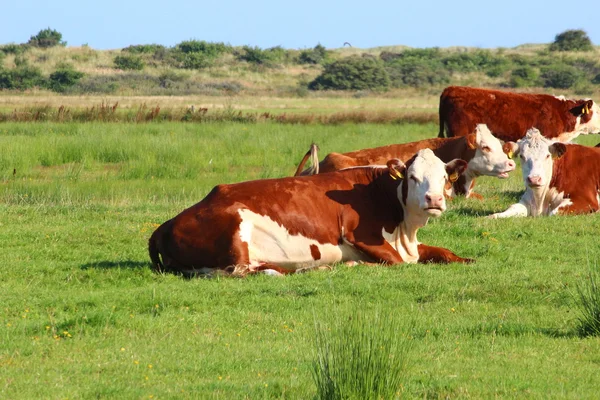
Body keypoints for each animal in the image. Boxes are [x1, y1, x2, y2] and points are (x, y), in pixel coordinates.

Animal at [150, 148, 474, 276]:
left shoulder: (410, 244)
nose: (434, 199)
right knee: (246, 270)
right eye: (413, 177)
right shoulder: (361, 235)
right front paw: (357, 264)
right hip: (235, 229)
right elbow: (400, 262)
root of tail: (166, 225)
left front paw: (466, 259)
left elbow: (443, 253)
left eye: (444, 178)